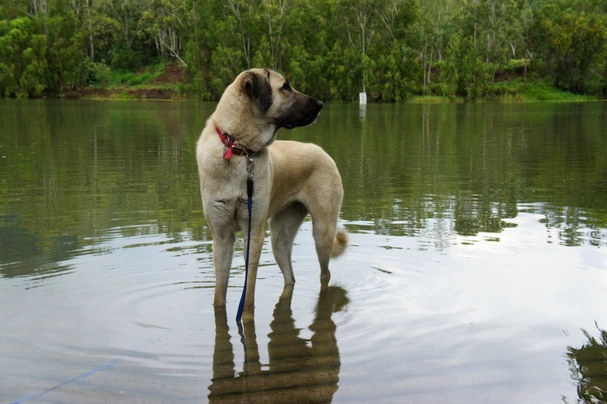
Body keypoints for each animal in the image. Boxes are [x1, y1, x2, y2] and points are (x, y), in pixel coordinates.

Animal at [197, 68, 350, 316]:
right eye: (285, 87)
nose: (320, 104)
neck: (240, 150)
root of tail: (323, 151)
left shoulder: (253, 233)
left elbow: (248, 294)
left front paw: (245, 316)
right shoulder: (221, 237)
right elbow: (219, 294)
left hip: (322, 232)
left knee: (325, 274)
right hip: (279, 239)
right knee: (291, 278)